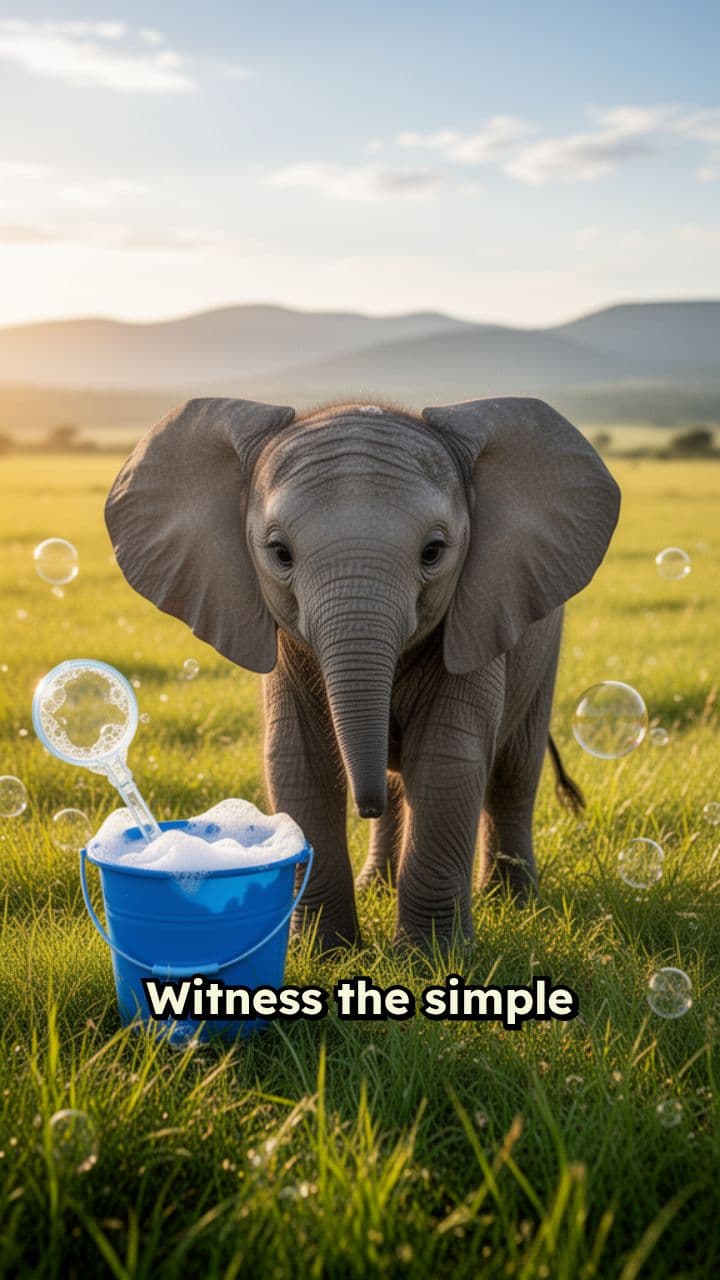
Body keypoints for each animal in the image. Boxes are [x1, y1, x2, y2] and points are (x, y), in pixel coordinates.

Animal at [105, 395, 620, 955]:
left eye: (433, 551)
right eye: (279, 553)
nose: (363, 806)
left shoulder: (477, 616)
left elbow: (445, 760)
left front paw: (427, 959)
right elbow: (299, 762)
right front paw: (323, 954)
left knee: (512, 772)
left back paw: (513, 900)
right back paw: (379, 885)